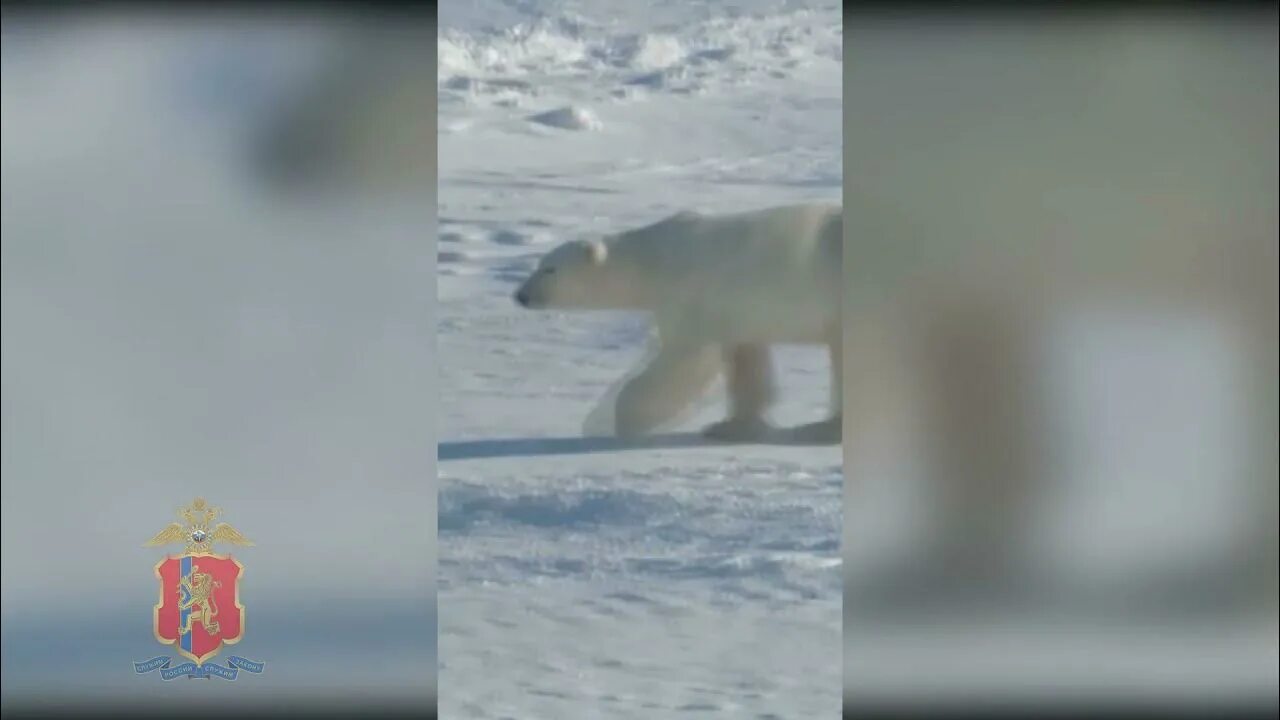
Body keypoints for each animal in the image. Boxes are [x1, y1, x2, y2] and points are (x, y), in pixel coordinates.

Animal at [509, 202, 839, 443]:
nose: (521, 295)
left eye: (550, 269)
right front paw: (730, 427)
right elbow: (746, 362)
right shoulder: (739, 311)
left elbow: (685, 360)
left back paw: (823, 429)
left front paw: (626, 423)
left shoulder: (688, 291)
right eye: (539, 264)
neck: (653, 258)